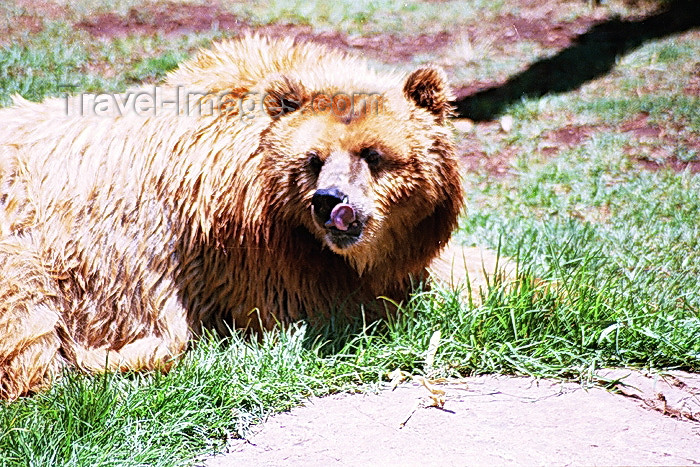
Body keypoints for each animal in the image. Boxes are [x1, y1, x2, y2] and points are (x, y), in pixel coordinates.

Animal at [0, 34, 492, 400]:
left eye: (372, 153)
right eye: (313, 159)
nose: (328, 200)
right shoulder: (255, 261)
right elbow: (339, 310)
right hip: (26, 251)